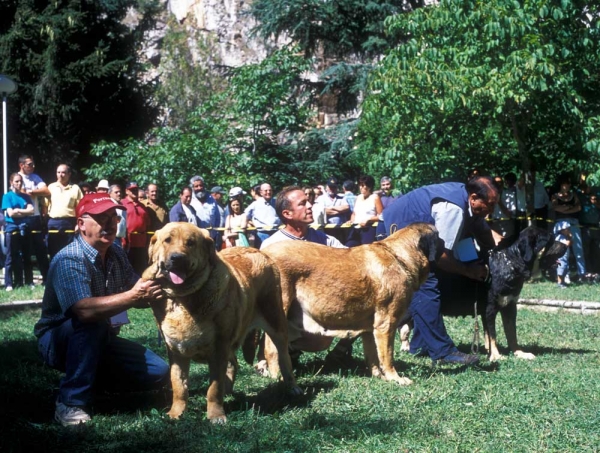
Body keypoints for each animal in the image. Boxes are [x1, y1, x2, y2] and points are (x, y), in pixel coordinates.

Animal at [143, 222, 302, 424]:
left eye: (190, 243)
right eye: (167, 240)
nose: (177, 258)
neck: (183, 297)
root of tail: (259, 251)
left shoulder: (218, 348)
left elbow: (214, 388)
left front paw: (216, 416)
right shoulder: (176, 351)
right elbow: (179, 385)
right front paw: (175, 413)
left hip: (276, 325)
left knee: (284, 359)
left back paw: (292, 387)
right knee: (234, 363)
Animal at [260, 221, 438, 384]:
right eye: (439, 240)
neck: (399, 257)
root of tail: (262, 253)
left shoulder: (370, 329)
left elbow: (373, 356)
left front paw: (378, 376)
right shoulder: (387, 324)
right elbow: (387, 356)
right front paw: (395, 378)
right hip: (280, 313)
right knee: (271, 347)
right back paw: (278, 377)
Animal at [398, 225, 568, 360]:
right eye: (550, 240)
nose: (567, 246)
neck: (510, 264)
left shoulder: (509, 307)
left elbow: (511, 333)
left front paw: (518, 353)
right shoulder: (489, 309)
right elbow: (493, 335)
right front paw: (496, 356)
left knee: (405, 328)